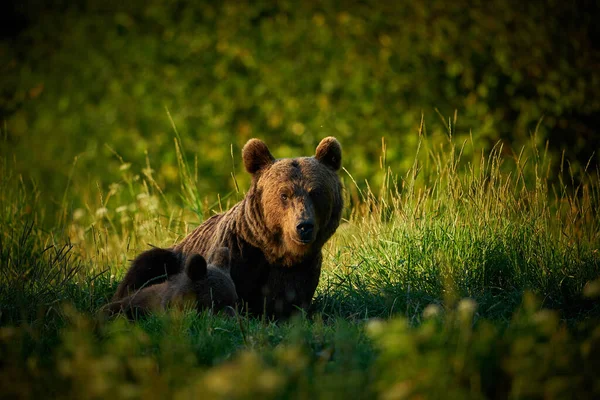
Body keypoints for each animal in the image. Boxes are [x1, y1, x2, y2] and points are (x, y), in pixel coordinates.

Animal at [115, 137, 342, 318]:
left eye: (315, 192)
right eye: (284, 194)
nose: (304, 226)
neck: (276, 251)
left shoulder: (301, 268)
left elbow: (288, 304)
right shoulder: (239, 253)